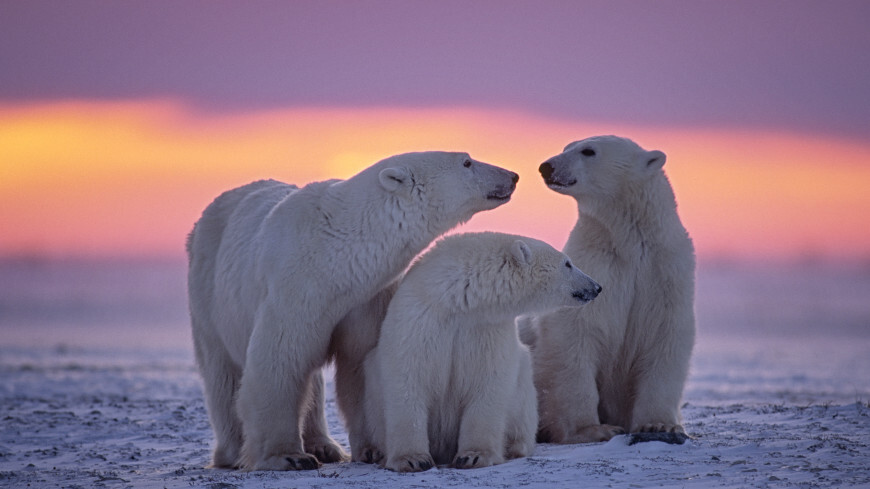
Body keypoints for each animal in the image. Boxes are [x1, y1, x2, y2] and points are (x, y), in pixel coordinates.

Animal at [187, 152, 520, 468]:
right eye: (467, 161)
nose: (513, 175)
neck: (336, 255)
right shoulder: (293, 288)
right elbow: (279, 360)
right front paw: (288, 457)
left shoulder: (366, 298)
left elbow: (361, 362)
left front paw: (373, 449)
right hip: (208, 292)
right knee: (222, 373)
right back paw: (233, 452)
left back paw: (325, 446)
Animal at [360, 231, 600, 470]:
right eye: (568, 263)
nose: (596, 287)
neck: (458, 301)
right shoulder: (420, 319)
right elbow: (408, 379)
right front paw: (412, 459)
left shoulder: (486, 329)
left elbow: (488, 382)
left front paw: (473, 456)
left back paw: (514, 446)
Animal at [532, 135, 696, 444]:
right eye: (566, 147)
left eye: (588, 151)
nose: (546, 167)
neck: (629, 244)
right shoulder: (595, 267)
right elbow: (575, 333)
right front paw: (593, 429)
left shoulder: (665, 274)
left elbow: (665, 336)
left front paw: (658, 425)